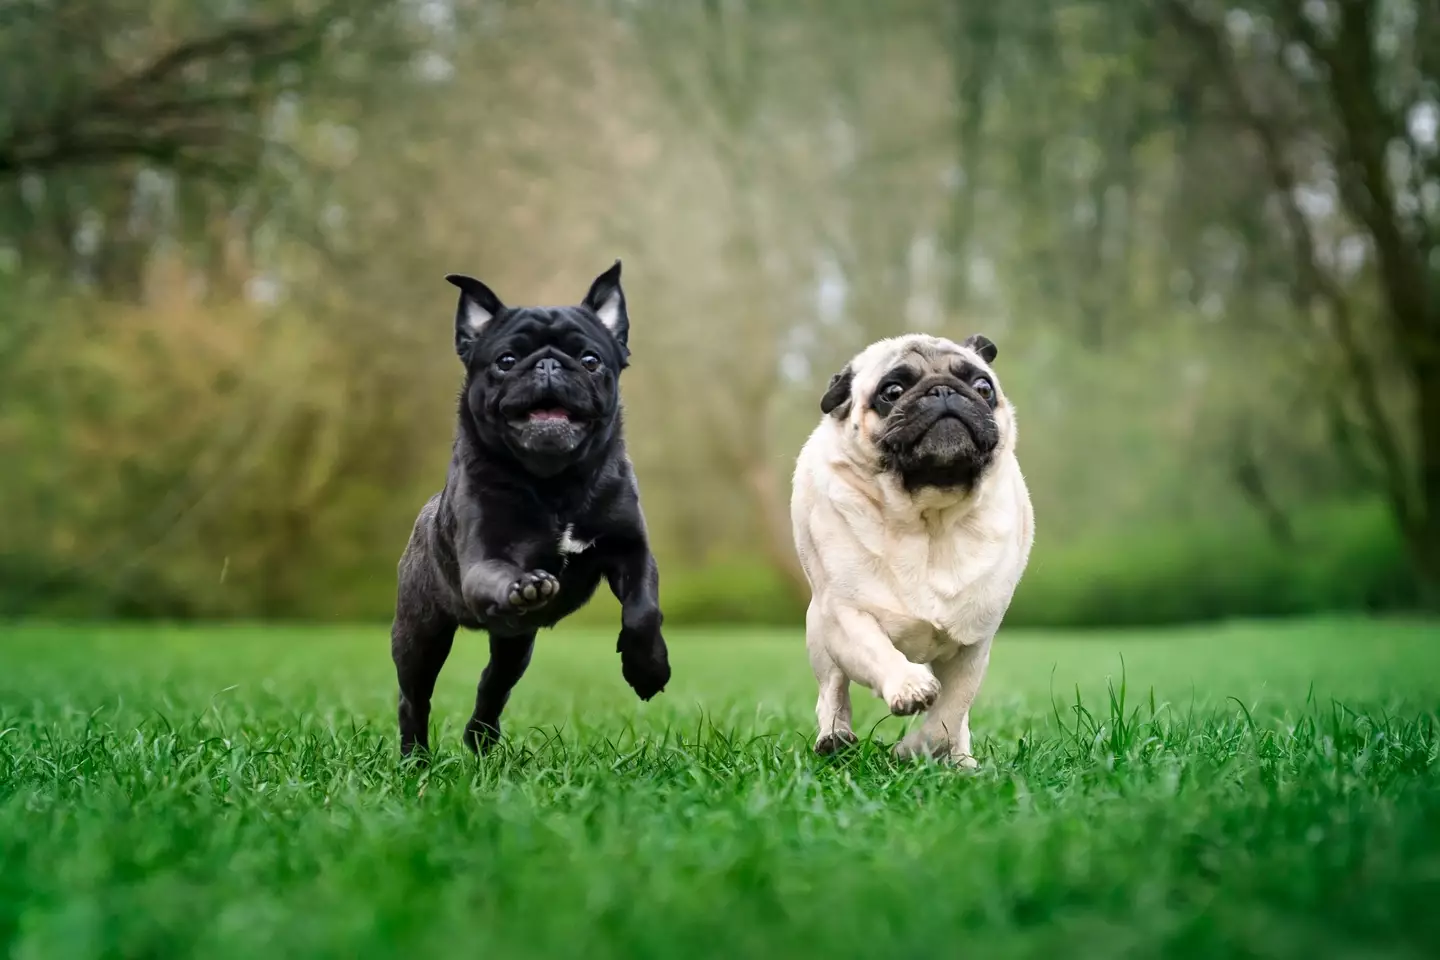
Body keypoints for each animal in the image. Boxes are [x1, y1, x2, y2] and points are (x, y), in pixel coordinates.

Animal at [388, 263, 668, 759]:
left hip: (515, 646)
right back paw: (415, 758)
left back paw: (480, 739)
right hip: (420, 635)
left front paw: (648, 669)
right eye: (505, 360)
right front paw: (526, 584)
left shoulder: (631, 551)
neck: (555, 482)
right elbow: (501, 571)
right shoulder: (485, 558)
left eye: (591, 360)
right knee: (414, 696)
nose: (549, 363)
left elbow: (643, 611)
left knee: (492, 684)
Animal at [789, 333, 1036, 771]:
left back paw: (961, 760)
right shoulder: (844, 616)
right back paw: (834, 737)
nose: (943, 391)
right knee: (833, 691)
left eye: (983, 387)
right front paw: (908, 687)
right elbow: (874, 649)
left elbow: (949, 713)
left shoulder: (973, 646)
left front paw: (916, 749)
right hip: (819, 633)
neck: (929, 518)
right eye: (892, 392)